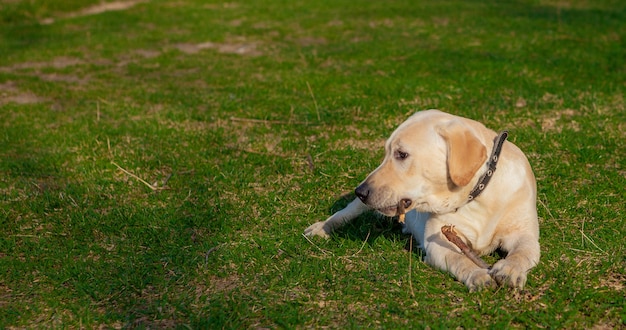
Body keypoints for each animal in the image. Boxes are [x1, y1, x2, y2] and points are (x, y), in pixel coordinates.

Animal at [304, 109, 540, 290]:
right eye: (387, 153)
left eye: (401, 154)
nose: (360, 191)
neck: (478, 194)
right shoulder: (438, 241)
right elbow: (459, 259)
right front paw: (477, 274)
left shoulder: (525, 234)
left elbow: (522, 252)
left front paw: (509, 269)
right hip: (356, 208)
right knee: (343, 213)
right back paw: (320, 228)